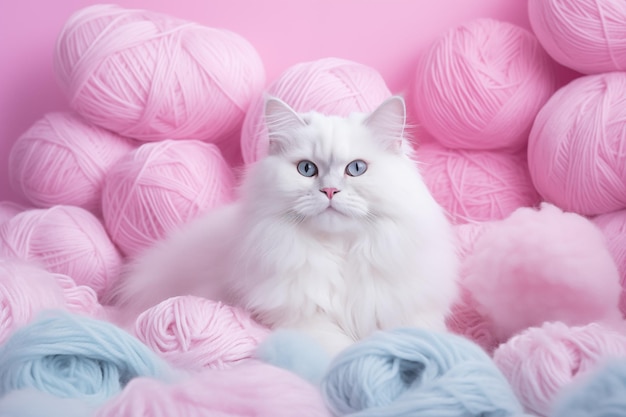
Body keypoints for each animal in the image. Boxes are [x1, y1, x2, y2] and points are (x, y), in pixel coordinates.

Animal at [113, 95, 458, 354]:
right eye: (306, 169)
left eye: (356, 168)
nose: (329, 191)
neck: (340, 253)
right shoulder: (299, 318)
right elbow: (336, 349)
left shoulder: (408, 310)